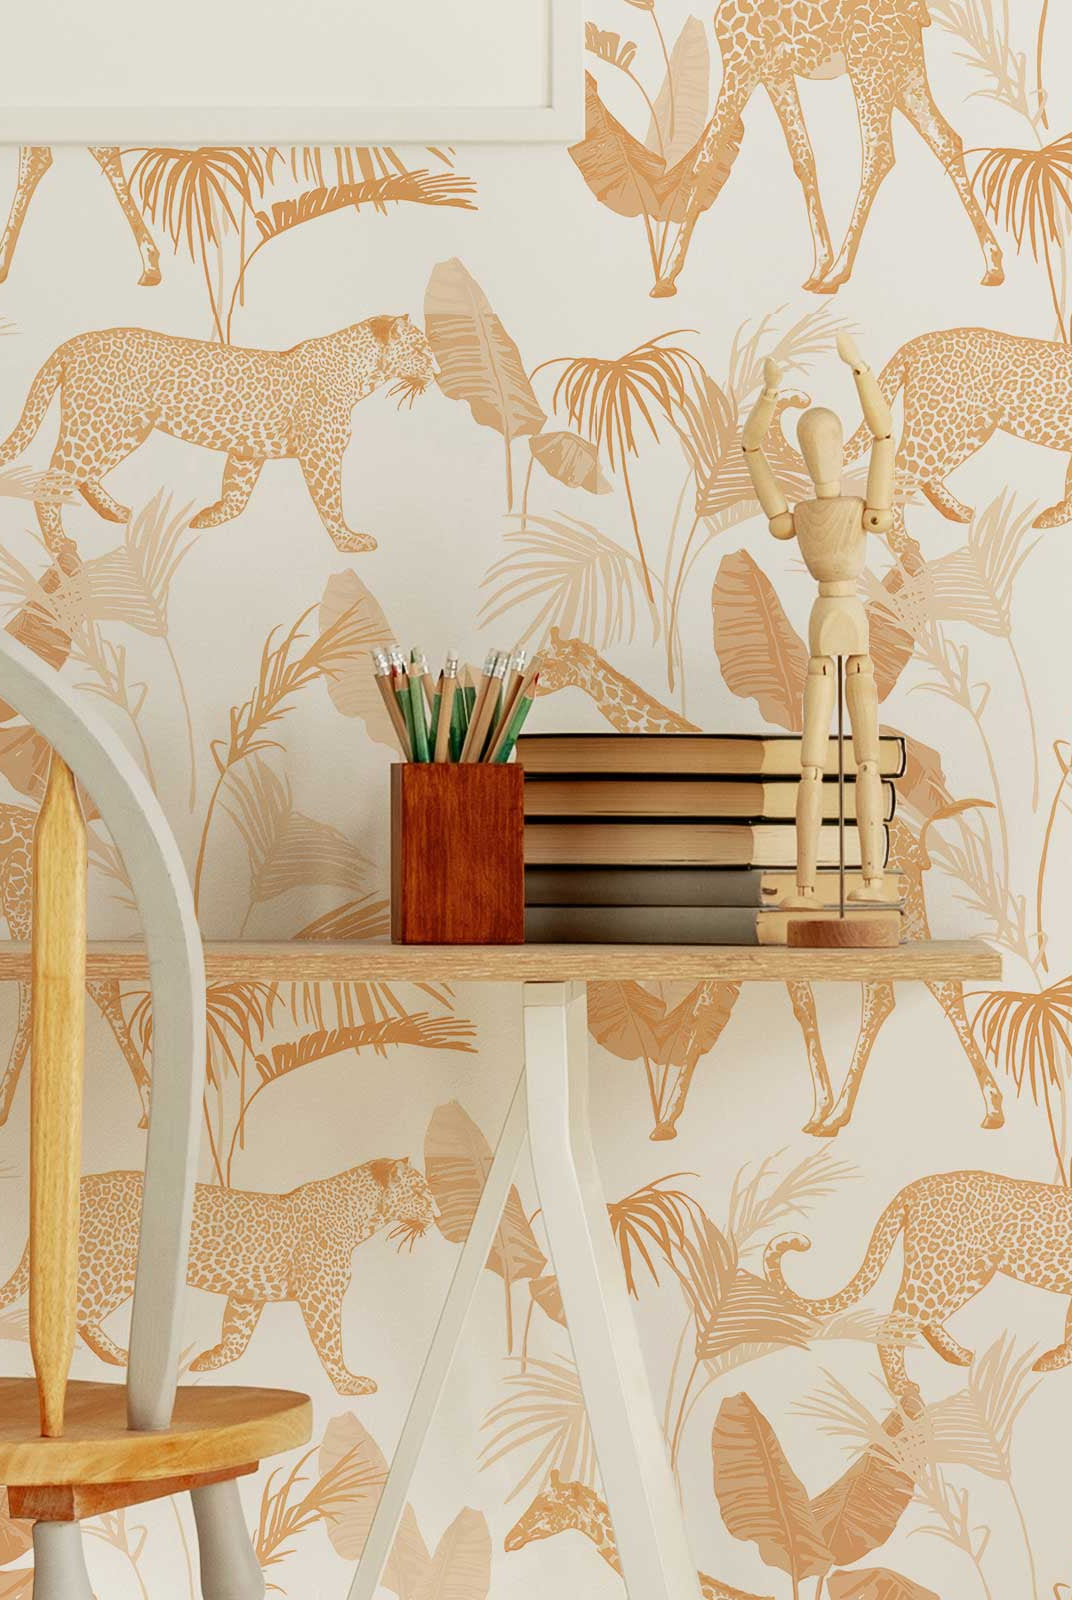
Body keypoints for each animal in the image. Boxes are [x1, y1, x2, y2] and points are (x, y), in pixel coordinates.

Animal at [539, 628, 1003, 1136]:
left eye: (550, 661)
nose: (532, 682)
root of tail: (915, 840)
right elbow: (789, 1008)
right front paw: (815, 1107)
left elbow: (713, 1012)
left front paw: (668, 1120)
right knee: (901, 994)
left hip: (904, 910)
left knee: (921, 991)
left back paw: (978, 1108)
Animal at [649, 0, 1003, 299]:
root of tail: (917, 12)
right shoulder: (775, 72)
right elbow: (803, 156)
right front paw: (819, 264)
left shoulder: (742, 60)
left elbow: (704, 162)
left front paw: (666, 277)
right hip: (905, 72)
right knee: (945, 138)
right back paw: (994, 265)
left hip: (867, 65)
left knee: (879, 152)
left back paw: (838, 274)